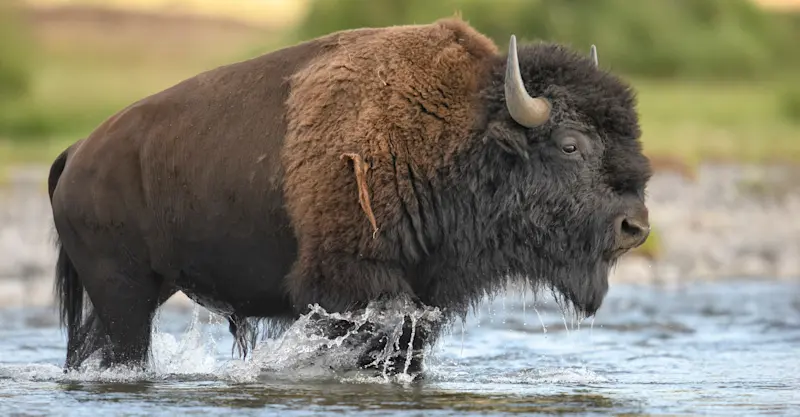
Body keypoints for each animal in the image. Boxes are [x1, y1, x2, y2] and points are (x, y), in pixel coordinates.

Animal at [47, 18, 651, 376]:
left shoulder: (424, 293)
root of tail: (77, 152)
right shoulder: (352, 282)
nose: (635, 226)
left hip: (132, 294)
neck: (453, 133)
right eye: (570, 144)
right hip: (123, 294)